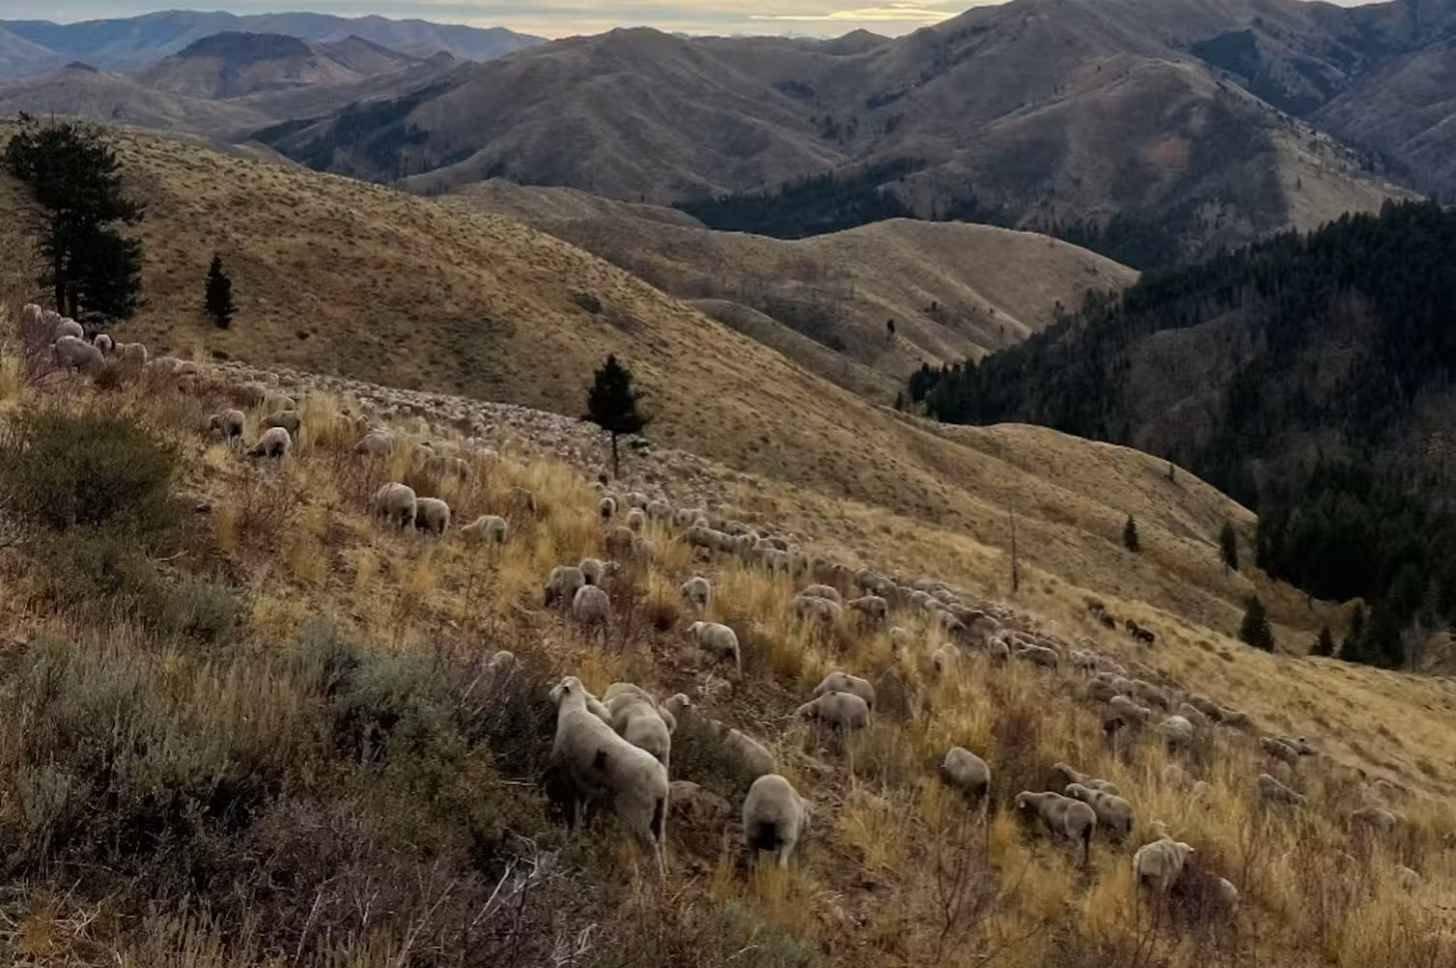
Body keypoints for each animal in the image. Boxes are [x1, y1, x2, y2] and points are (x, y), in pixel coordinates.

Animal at [548, 676, 668, 879]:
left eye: (560, 683)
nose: (549, 693)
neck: (573, 710)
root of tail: (662, 784)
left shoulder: (567, 771)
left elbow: (574, 804)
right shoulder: (585, 781)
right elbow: (582, 807)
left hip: (636, 813)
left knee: (649, 845)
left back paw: (652, 876)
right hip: (659, 813)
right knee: (659, 840)